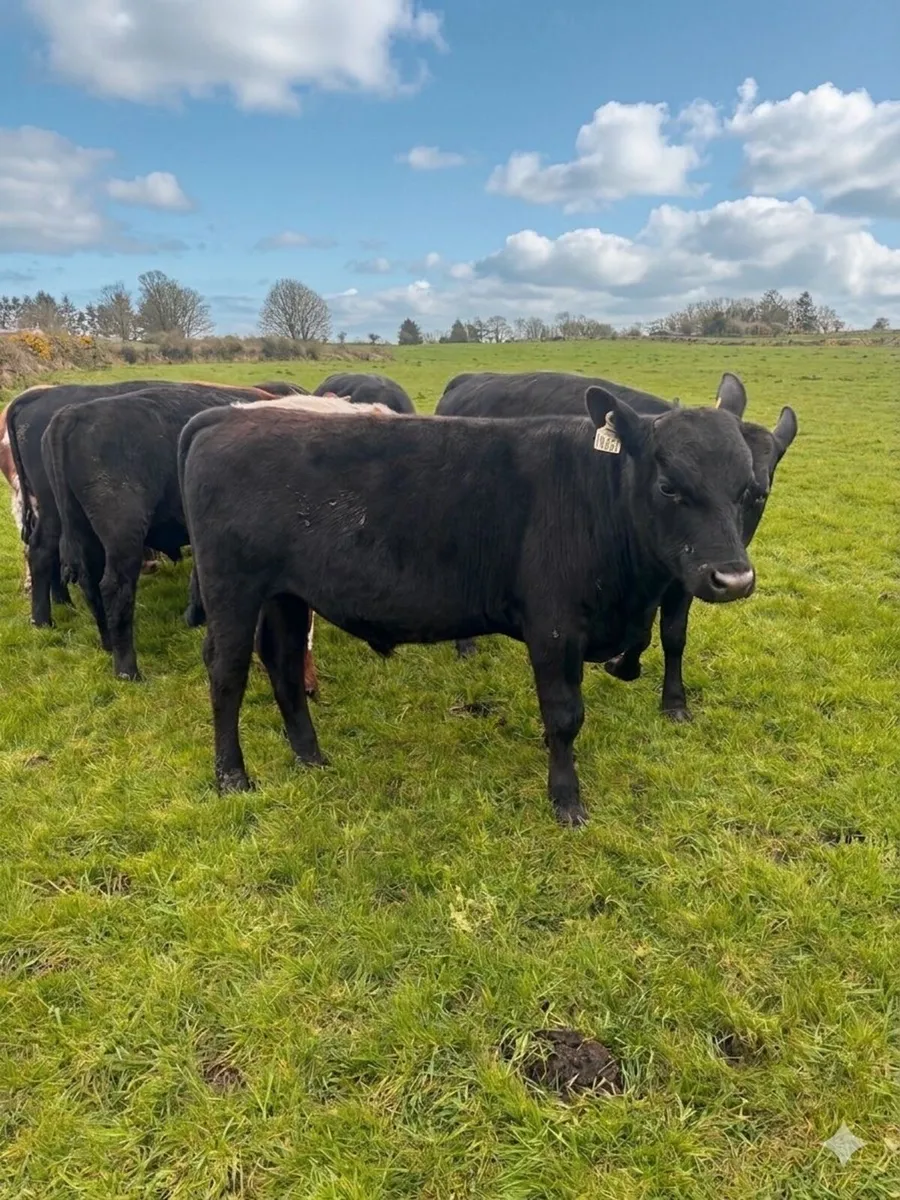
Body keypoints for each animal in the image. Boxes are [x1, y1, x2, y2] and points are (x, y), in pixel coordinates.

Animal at [178, 389, 775, 826]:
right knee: (227, 672)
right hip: (234, 587)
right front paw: (566, 800)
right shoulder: (554, 627)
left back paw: (310, 756)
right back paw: (232, 777)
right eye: (669, 486)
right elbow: (565, 715)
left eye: (750, 489)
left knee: (281, 664)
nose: (733, 578)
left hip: (287, 594)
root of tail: (226, 418)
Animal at [436, 370, 798, 721]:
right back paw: (465, 644)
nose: (735, 581)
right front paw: (623, 666)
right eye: (667, 487)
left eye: (756, 492)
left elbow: (672, 634)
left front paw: (673, 701)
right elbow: (642, 632)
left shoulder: (686, 577)